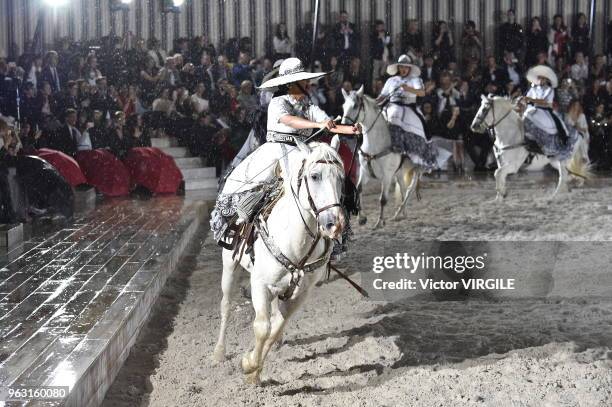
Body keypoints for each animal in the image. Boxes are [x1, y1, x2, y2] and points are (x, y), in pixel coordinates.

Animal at [212, 140, 346, 386]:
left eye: (341, 178)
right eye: (314, 176)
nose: (335, 223)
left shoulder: (301, 294)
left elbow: (275, 328)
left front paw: (255, 371)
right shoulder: (260, 284)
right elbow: (262, 327)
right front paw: (249, 365)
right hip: (230, 263)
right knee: (226, 305)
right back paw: (219, 352)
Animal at [340, 86, 420, 230]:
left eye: (355, 106)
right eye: (344, 106)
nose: (344, 132)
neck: (376, 144)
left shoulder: (386, 176)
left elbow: (383, 199)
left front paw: (379, 222)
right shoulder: (365, 171)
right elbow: (359, 189)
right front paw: (361, 218)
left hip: (415, 169)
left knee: (410, 189)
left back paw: (399, 212)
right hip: (399, 172)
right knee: (403, 188)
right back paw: (401, 213)